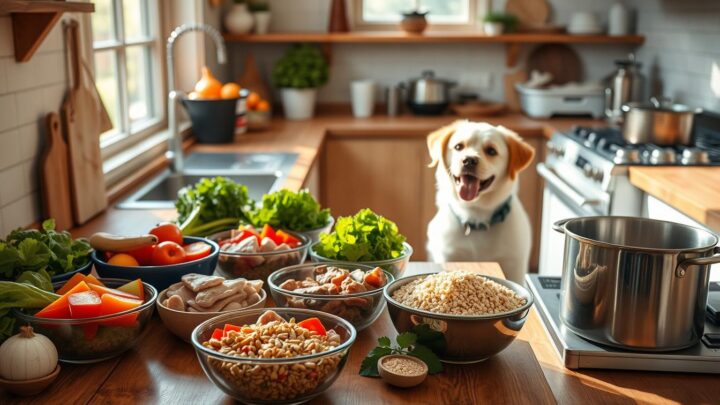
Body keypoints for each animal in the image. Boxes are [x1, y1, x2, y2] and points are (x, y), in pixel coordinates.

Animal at [424, 120, 536, 282]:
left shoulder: (515, 264)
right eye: (459, 147)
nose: (469, 160)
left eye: (491, 151)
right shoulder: (449, 255)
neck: (476, 218)